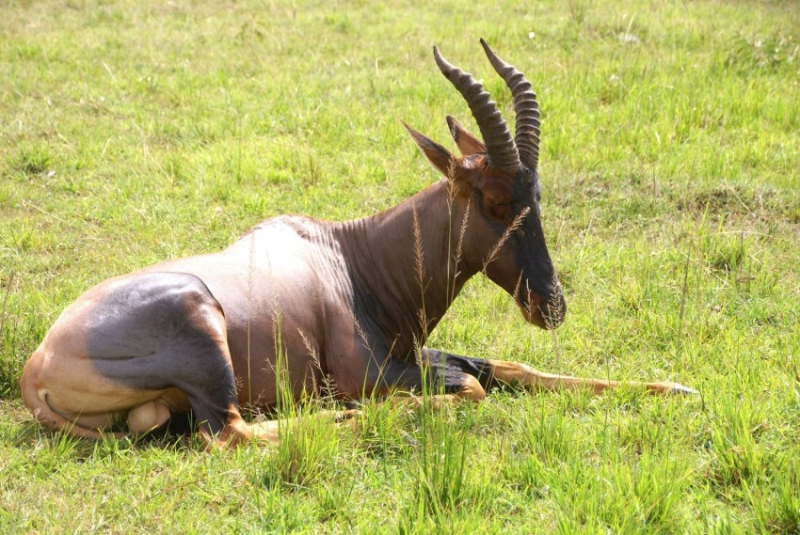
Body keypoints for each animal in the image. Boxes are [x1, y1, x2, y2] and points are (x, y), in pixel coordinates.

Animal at [17, 40, 692, 448]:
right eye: (497, 202)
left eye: (539, 194)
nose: (550, 304)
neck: (348, 255)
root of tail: (35, 365)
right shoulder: (369, 370)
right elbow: (472, 386)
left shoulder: (413, 352)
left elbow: (505, 367)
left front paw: (676, 388)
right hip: (202, 326)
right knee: (231, 433)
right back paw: (358, 417)